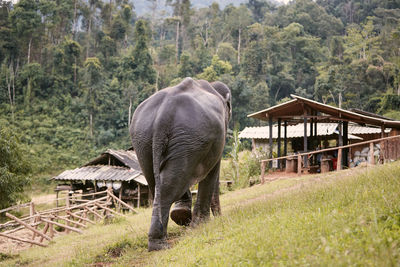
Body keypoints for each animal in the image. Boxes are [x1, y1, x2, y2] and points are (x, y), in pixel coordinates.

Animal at [130, 77, 231, 251]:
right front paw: (203, 224)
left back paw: (160, 239)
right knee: (170, 186)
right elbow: (213, 170)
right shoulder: (218, 138)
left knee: (160, 184)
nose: (220, 216)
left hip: (144, 141)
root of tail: (163, 115)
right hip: (189, 140)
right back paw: (162, 244)